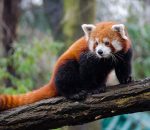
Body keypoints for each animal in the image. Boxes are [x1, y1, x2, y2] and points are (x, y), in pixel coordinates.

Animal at [0, 21, 132, 110]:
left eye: (107, 43)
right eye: (96, 43)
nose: (99, 52)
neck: (105, 59)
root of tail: (52, 80)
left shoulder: (124, 53)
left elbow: (123, 67)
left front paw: (126, 79)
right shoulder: (87, 56)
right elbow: (86, 72)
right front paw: (94, 88)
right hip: (65, 66)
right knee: (66, 75)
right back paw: (73, 93)